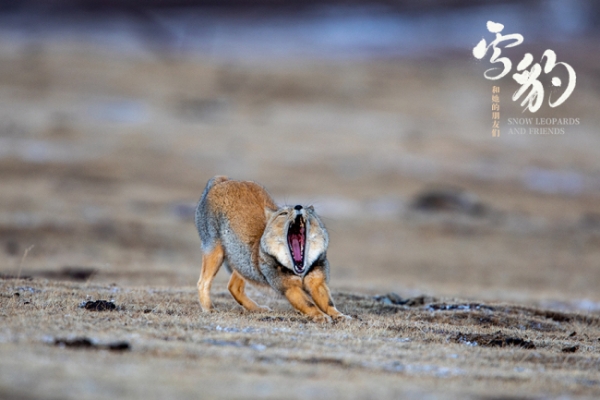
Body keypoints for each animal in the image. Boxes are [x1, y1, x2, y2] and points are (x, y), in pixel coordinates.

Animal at [195, 175, 350, 322]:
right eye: (283, 213)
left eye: (308, 212)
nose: (298, 206)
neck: (300, 271)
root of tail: (224, 180)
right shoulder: (288, 287)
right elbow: (309, 304)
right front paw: (320, 316)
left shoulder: (317, 282)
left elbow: (329, 303)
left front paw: (339, 315)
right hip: (216, 254)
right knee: (202, 283)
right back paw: (209, 308)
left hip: (242, 265)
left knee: (233, 287)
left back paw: (257, 309)